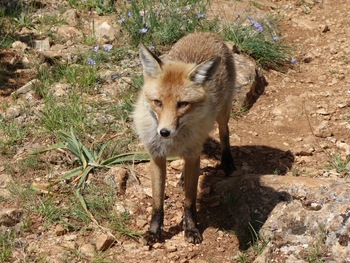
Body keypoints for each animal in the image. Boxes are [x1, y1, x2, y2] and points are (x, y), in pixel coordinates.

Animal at [133, 32, 237, 246]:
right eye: (157, 102)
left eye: (182, 104)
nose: (164, 132)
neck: (173, 143)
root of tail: (205, 32)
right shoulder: (156, 157)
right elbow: (157, 202)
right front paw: (154, 231)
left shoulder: (193, 155)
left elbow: (189, 201)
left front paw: (190, 229)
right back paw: (182, 176)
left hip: (222, 114)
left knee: (224, 132)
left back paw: (227, 161)